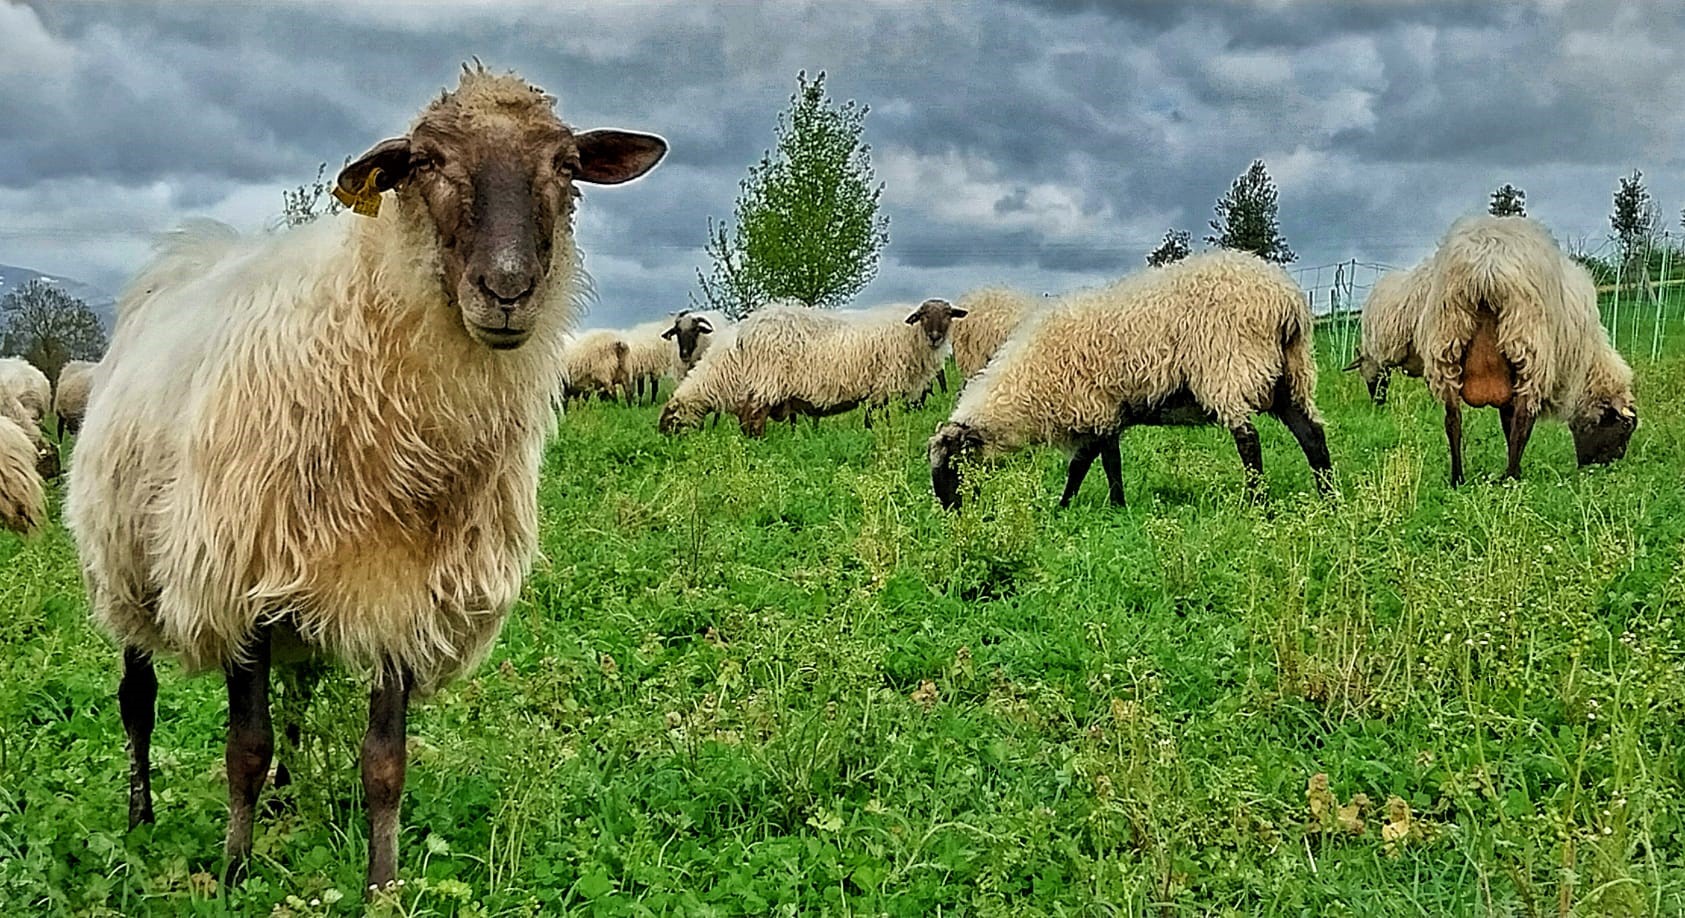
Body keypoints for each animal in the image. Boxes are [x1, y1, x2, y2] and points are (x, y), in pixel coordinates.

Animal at [65, 66, 670, 896]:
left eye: (566, 164)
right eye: (426, 162)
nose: (507, 289)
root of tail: (184, 256)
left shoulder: (404, 591)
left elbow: (384, 763)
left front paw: (382, 886)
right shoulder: (239, 577)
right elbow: (242, 748)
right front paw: (235, 872)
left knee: (295, 699)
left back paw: (286, 798)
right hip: (124, 567)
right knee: (138, 701)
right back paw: (140, 819)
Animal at [936, 249, 1327, 508]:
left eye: (954, 464)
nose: (950, 510)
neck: (1029, 386)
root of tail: (1287, 300)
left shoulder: (1098, 408)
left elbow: (1102, 464)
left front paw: (1113, 507)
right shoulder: (1104, 414)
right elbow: (1085, 465)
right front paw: (1066, 506)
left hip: (1229, 369)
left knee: (1249, 440)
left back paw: (1256, 502)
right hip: (1290, 375)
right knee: (1311, 434)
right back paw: (1329, 497)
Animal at [1415, 214, 1637, 485]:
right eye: (1624, 430)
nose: (1607, 463)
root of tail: (1485, 266)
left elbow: (1505, 420)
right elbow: (1515, 421)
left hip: (1446, 340)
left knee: (1452, 419)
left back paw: (1458, 478)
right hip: (1529, 345)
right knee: (1523, 419)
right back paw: (1512, 476)